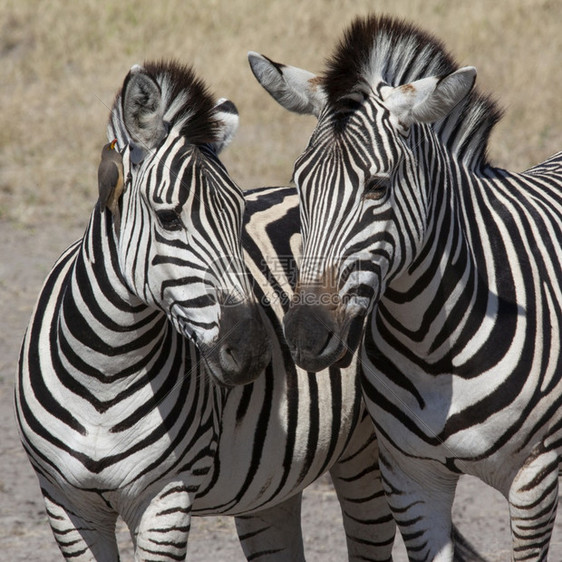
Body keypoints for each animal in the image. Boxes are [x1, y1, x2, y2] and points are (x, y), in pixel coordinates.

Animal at [16, 59, 394, 556]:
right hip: (272, 481)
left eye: (239, 215)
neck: (105, 371)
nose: (252, 352)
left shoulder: (165, 499)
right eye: (167, 217)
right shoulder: (65, 505)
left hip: (367, 449)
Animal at [250, 13, 562, 560]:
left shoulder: (534, 479)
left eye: (377, 186)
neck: (433, 342)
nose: (305, 335)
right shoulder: (409, 479)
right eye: (299, 183)